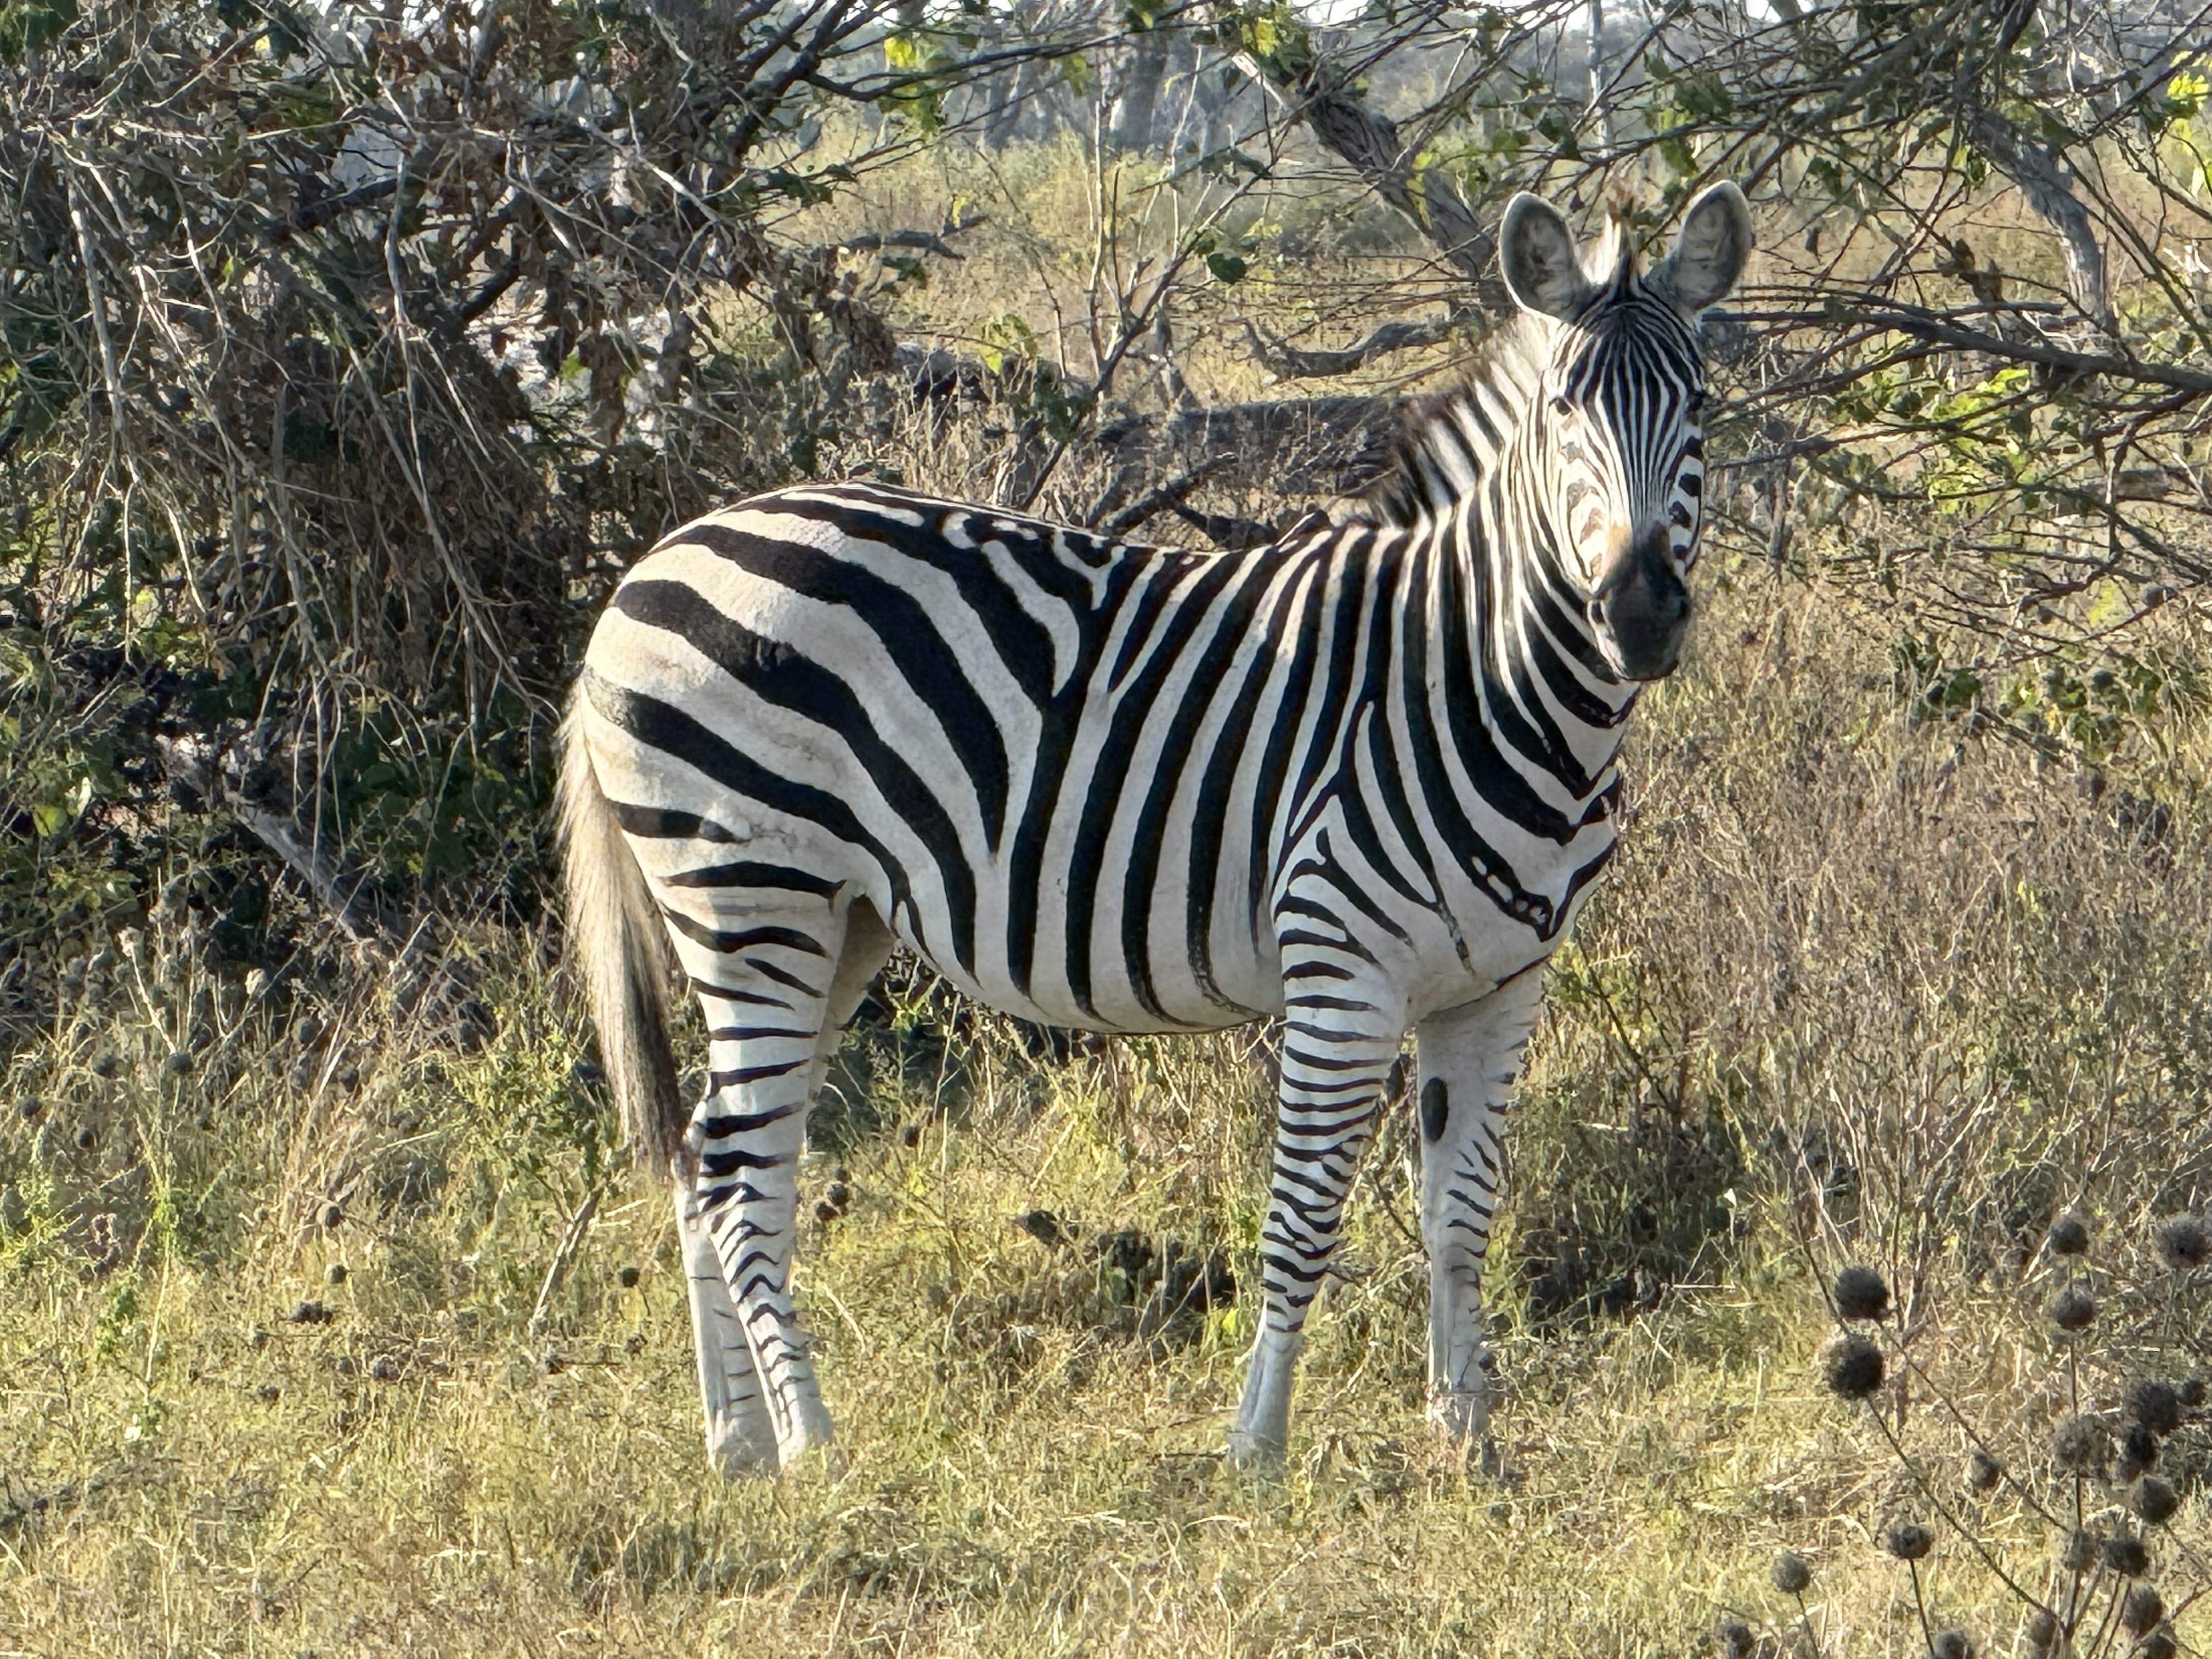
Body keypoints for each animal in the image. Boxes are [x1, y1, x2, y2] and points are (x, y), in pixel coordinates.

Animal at [557, 183, 1752, 1476]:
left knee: (708, 1158)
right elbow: (1302, 1217)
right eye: (1564, 410)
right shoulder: (1342, 966)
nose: (1640, 615)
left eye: (1698, 404)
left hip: (838, 920)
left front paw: (1469, 1444)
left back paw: (737, 1445)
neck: (1470, 672)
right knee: (736, 1174)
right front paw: (1259, 1451)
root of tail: (655, 561)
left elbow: (1462, 1216)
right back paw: (812, 1443)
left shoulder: (1499, 985)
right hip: (747, 892)